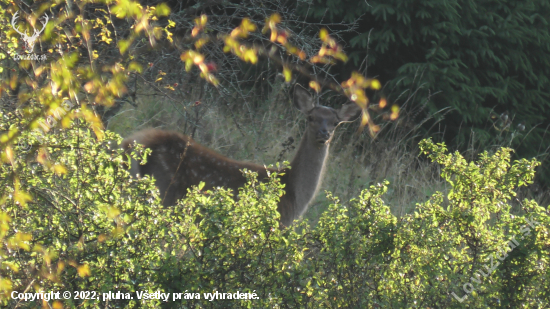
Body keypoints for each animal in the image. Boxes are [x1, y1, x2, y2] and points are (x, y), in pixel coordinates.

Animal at [123, 83, 364, 225]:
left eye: (335, 122)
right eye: (311, 117)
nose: (324, 133)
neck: (293, 195)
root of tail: (131, 143)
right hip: (162, 192)